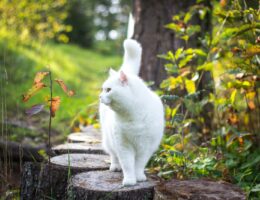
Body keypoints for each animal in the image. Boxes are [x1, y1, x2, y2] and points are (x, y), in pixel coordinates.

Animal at [98, 39, 164, 186]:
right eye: (103, 89)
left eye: (108, 90)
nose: (99, 96)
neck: (132, 117)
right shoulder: (123, 145)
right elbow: (127, 164)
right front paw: (129, 180)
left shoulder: (145, 147)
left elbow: (139, 165)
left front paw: (138, 177)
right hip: (109, 140)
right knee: (113, 155)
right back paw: (115, 167)